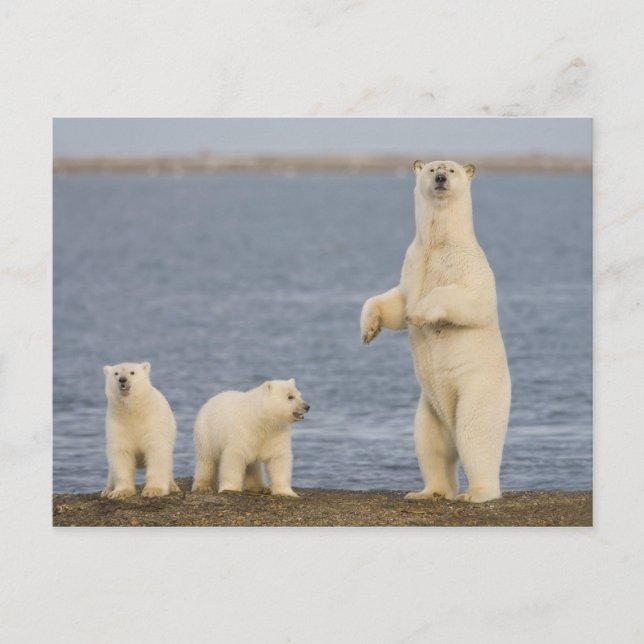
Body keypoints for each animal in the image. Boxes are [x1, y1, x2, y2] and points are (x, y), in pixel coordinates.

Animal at [101, 361, 179, 499]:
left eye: (132, 372)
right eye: (116, 373)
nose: (122, 379)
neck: (133, 410)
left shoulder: (152, 422)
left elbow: (156, 451)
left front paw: (154, 490)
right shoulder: (118, 424)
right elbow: (121, 453)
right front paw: (120, 492)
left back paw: (173, 486)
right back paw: (107, 490)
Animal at [360, 160, 511, 503]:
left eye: (451, 170)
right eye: (431, 169)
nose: (441, 178)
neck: (438, 244)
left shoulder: (470, 266)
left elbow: (471, 300)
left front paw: (419, 313)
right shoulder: (412, 262)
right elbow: (393, 301)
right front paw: (369, 329)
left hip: (478, 390)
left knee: (475, 434)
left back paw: (476, 493)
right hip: (429, 409)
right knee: (430, 444)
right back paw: (426, 492)